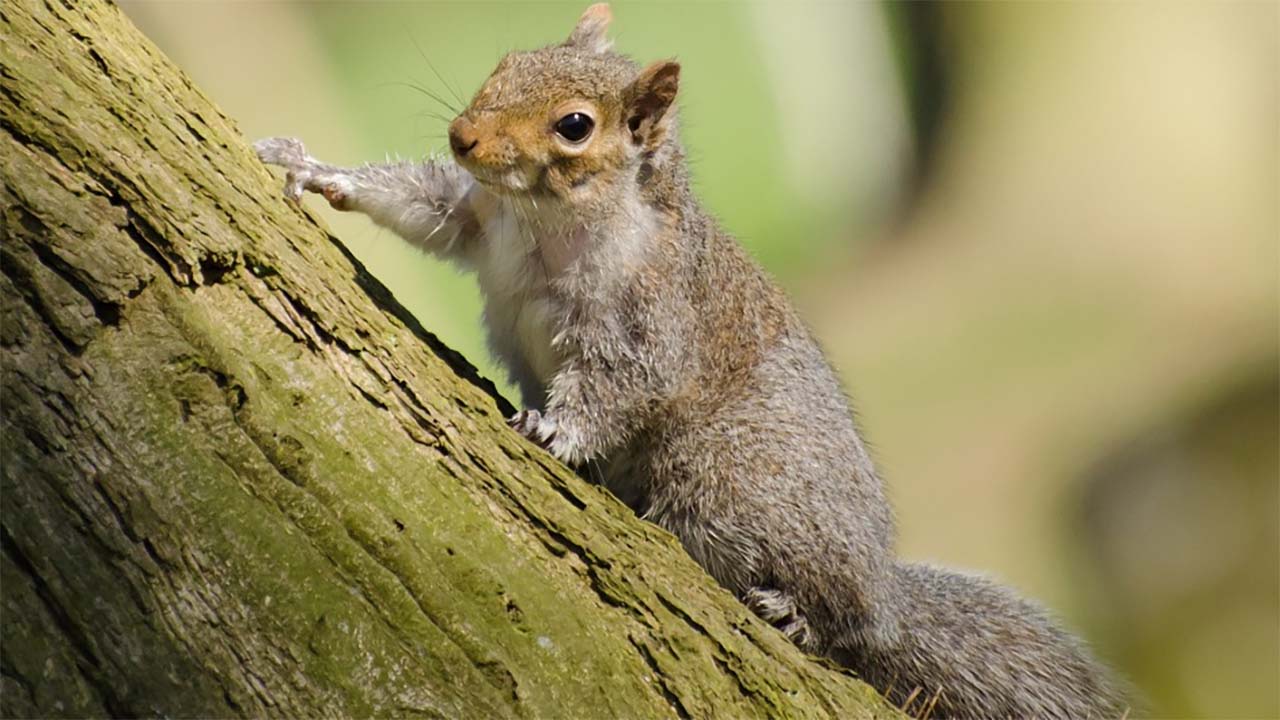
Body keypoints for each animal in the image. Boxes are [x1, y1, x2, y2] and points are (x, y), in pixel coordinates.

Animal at [254, 4, 1136, 712]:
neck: (548, 219)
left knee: (842, 618)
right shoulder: (478, 219)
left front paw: (556, 433)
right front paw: (315, 170)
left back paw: (800, 614)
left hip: (728, 480)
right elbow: (421, 203)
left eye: (575, 126)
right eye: (507, 62)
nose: (463, 136)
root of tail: (884, 585)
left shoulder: (649, 317)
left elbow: (619, 387)